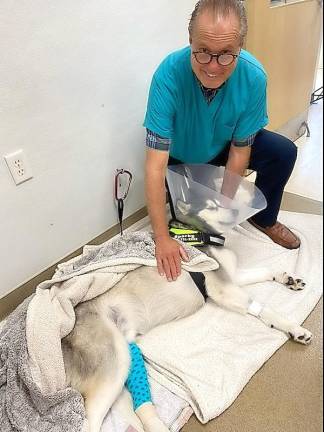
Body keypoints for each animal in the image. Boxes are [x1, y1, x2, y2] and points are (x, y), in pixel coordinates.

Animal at [60, 206, 312, 432]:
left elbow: (266, 270)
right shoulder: (223, 289)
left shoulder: (233, 277)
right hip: (114, 361)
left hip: (123, 356)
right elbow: (266, 309)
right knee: (89, 422)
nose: (238, 212)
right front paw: (295, 329)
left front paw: (288, 279)